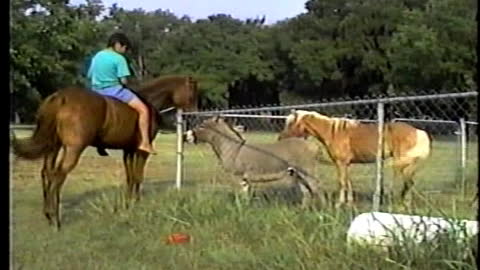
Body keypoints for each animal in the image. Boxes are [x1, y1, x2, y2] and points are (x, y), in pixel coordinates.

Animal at [11, 75, 199, 229]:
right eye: (193, 92)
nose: (194, 116)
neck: (150, 102)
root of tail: (61, 98)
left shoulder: (128, 151)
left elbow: (131, 177)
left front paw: (128, 203)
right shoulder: (141, 151)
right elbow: (138, 176)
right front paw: (137, 202)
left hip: (53, 146)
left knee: (47, 173)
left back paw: (48, 215)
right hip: (73, 148)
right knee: (59, 175)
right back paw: (56, 219)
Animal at [278, 109, 432, 207]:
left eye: (291, 123)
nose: (280, 139)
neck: (333, 132)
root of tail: (417, 131)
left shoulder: (340, 163)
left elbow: (342, 182)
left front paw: (339, 204)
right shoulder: (346, 164)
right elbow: (348, 182)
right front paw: (349, 203)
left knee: (409, 183)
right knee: (409, 183)